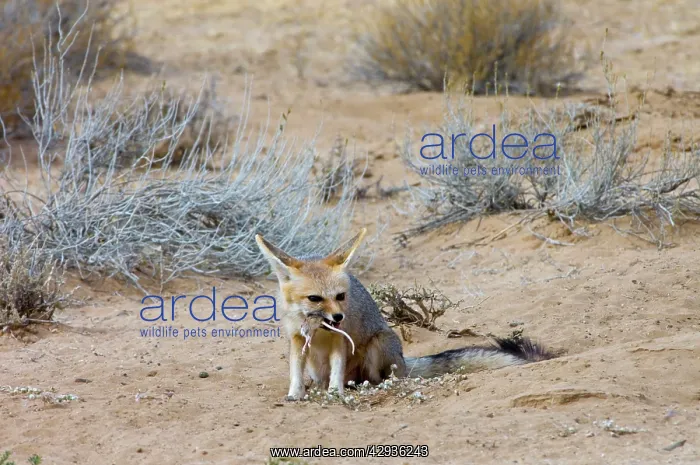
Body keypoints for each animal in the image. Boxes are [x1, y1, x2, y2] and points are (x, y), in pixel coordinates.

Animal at [255, 228, 553, 400]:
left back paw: (360, 386)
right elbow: (295, 371)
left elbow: (337, 371)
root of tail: (403, 360)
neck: (317, 330)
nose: (339, 318)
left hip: (379, 344)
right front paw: (295, 393)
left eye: (340, 296)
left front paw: (334, 394)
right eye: (315, 299)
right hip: (322, 365)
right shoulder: (296, 340)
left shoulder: (341, 339)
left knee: (377, 379)